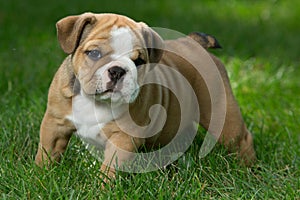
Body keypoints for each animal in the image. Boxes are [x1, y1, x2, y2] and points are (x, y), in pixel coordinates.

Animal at [35, 12, 255, 180]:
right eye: (94, 53)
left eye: (139, 61)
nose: (117, 71)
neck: (95, 101)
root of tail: (194, 42)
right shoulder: (55, 124)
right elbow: (46, 152)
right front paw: (40, 176)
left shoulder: (123, 138)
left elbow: (110, 167)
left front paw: (102, 187)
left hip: (222, 114)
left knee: (241, 139)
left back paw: (247, 169)